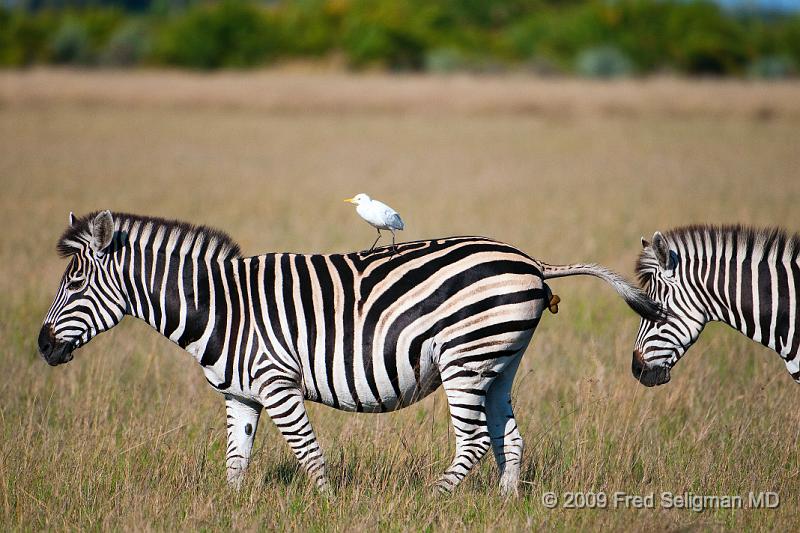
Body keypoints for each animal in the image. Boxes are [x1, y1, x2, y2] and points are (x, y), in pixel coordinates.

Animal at [37, 209, 664, 494]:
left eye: (75, 283)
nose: (41, 346)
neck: (219, 307)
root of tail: (531, 261)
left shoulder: (276, 383)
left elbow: (308, 455)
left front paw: (325, 506)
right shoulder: (241, 395)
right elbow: (236, 462)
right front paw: (227, 510)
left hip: (463, 359)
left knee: (474, 441)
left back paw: (434, 504)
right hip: (499, 362)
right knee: (508, 437)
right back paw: (506, 506)